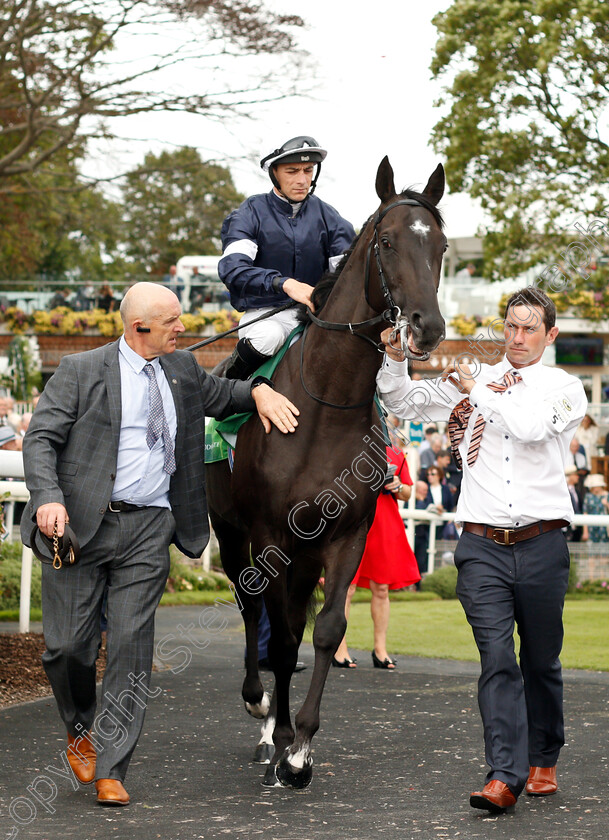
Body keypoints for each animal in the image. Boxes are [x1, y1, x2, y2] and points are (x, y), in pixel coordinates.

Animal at [207, 158, 444, 788]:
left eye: (440, 246)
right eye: (387, 243)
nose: (428, 327)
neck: (325, 405)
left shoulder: (346, 534)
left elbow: (327, 628)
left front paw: (301, 747)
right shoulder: (270, 534)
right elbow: (283, 637)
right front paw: (281, 737)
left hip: (304, 550)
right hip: (233, 532)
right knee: (253, 610)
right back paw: (260, 709)